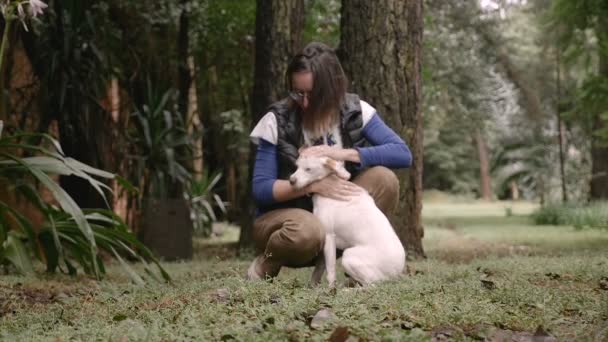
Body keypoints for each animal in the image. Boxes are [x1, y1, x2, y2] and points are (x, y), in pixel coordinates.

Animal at [288, 156, 406, 288]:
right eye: (297, 166)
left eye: (308, 169)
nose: (291, 181)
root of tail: (396, 273)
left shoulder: (329, 237)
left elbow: (330, 270)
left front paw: (330, 289)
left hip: (349, 257)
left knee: (371, 285)